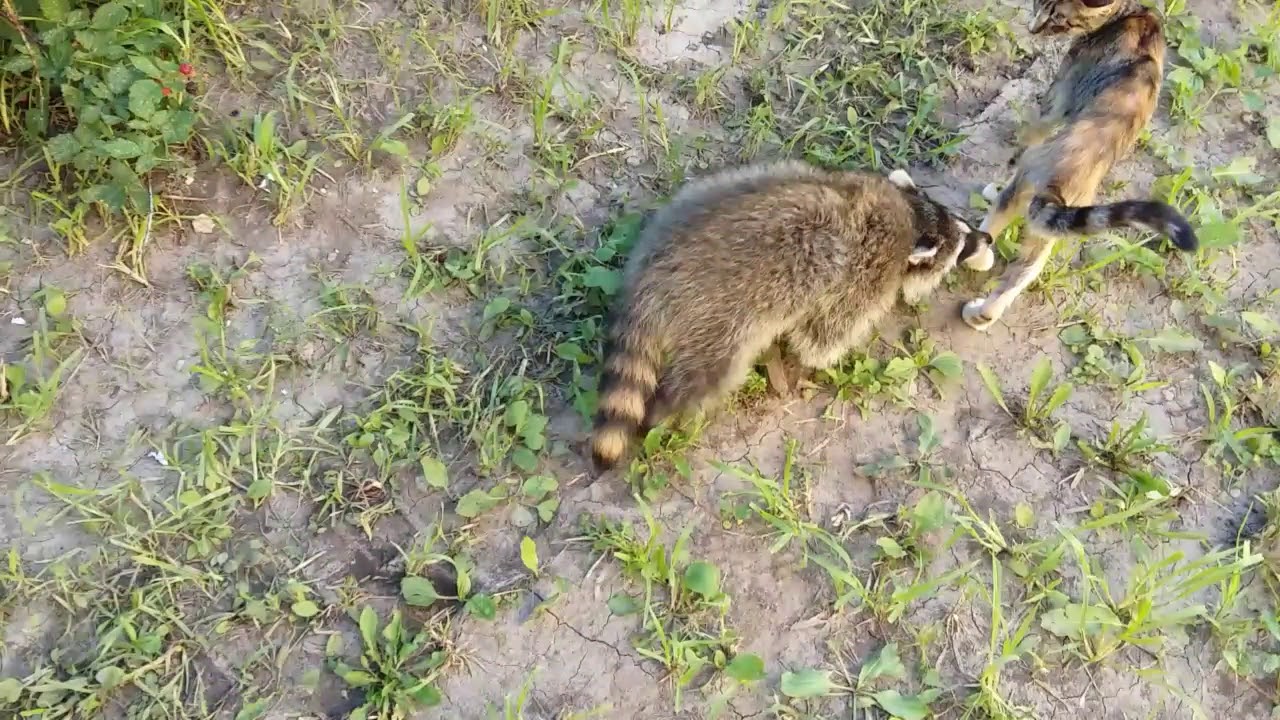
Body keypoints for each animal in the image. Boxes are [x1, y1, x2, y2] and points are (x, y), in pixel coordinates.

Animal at [589, 161, 995, 471]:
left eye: (963, 225)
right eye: (962, 245)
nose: (988, 238)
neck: (909, 216)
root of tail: (651, 280)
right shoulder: (864, 275)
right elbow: (823, 336)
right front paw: (827, 358)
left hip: (699, 200)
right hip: (719, 323)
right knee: (702, 377)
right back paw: (664, 413)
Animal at [961, 0, 1198, 332]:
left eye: (1059, 19)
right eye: (1039, 4)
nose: (1034, 29)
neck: (1133, 14)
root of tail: (1061, 184)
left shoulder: (1058, 99)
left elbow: (1027, 138)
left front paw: (996, 180)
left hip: (1025, 188)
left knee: (993, 229)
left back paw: (977, 257)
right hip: (1052, 227)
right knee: (1024, 272)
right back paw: (982, 316)